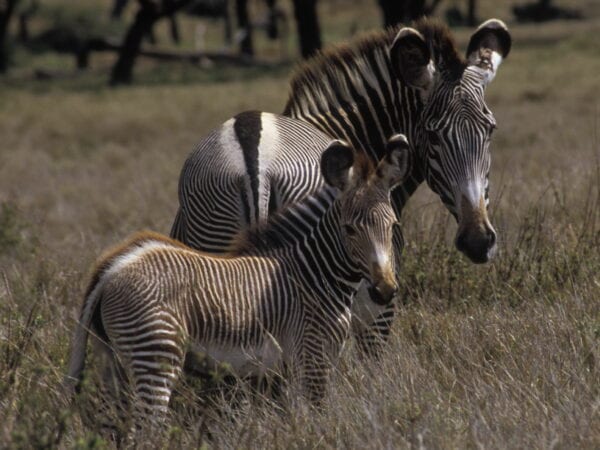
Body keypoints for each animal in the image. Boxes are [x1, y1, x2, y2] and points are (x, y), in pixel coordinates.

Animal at [67, 136, 412, 432]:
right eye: (349, 229)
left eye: (393, 224)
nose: (384, 290)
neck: (315, 274)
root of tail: (112, 266)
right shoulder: (313, 354)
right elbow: (318, 414)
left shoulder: (287, 367)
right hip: (156, 355)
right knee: (144, 432)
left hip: (112, 360)